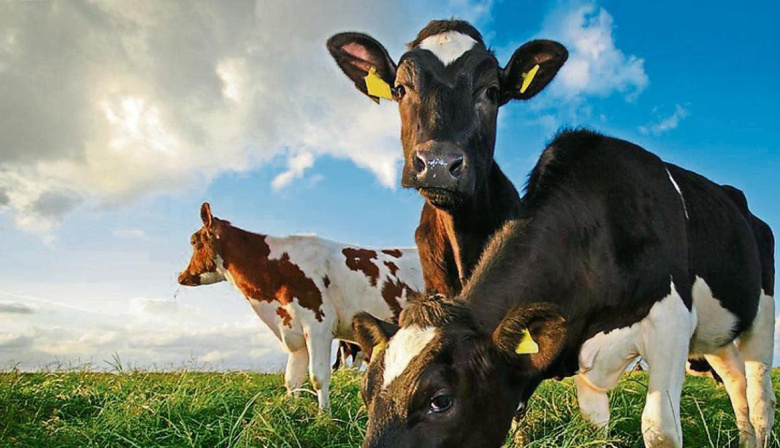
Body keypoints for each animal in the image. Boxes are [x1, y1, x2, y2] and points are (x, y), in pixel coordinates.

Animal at [177, 203, 423, 411]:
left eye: (193, 241)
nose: (182, 277)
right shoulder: (292, 331)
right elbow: (292, 379)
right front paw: (292, 412)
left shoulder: (318, 325)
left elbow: (318, 377)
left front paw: (325, 418)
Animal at [351, 129, 775, 448]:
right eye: (366, 392)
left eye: (440, 400)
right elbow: (595, 426)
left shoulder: (671, 319)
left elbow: (660, 431)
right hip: (715, 335)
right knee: (736, 383)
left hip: (761, 314)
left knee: (759, 397)